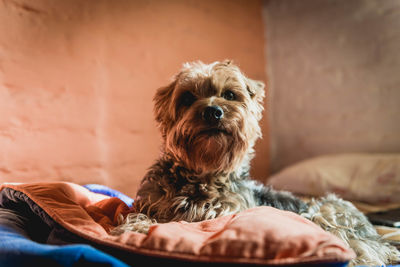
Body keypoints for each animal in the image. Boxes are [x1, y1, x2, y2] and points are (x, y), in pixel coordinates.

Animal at [113, 61, 400, 267]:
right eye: (187, 97)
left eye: (230, 95)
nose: (213, 111)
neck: (202, 174)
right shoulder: (149, 202)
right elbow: (140, 215)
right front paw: (138, 227)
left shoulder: (220, 215)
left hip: (330, 211)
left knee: (361, 249)